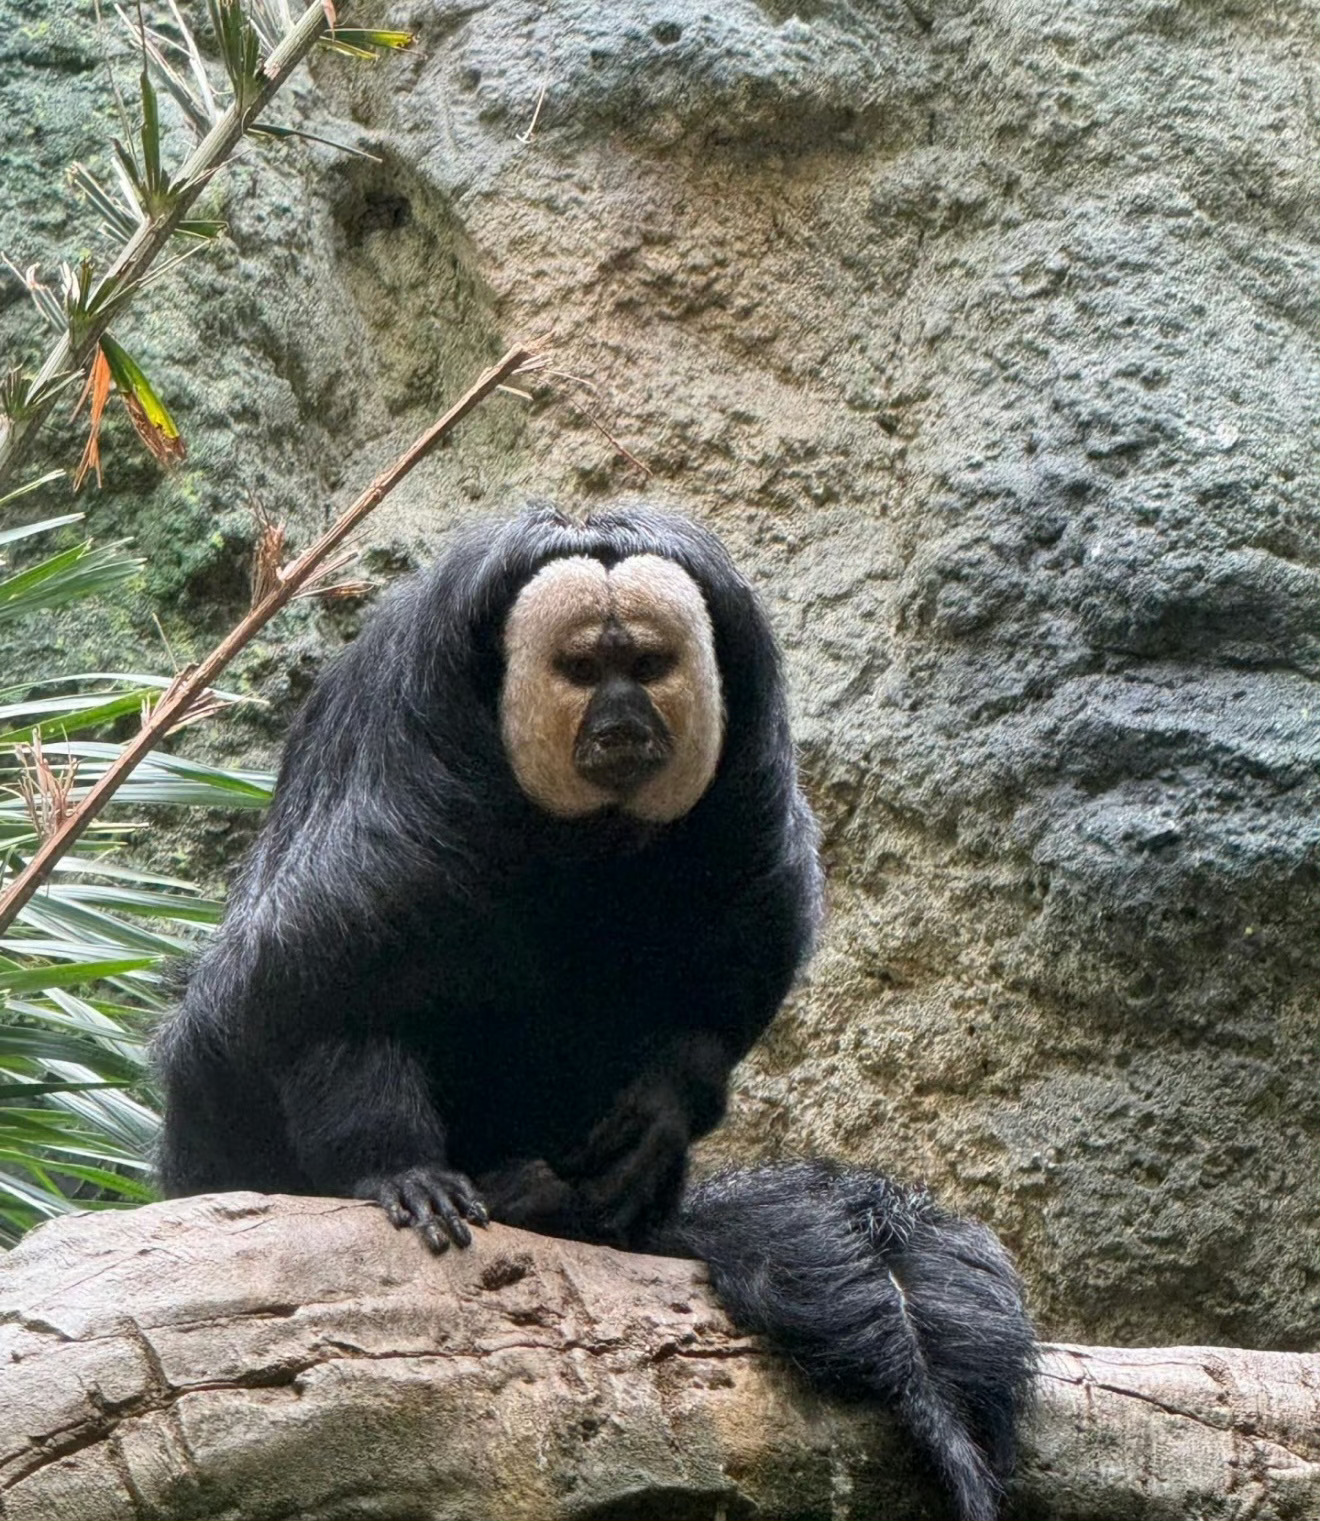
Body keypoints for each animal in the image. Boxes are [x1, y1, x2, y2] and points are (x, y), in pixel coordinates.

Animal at [155, 504, 1033, 1521]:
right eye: (582, 669)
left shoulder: (746, 776)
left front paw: (655, 1114)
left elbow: (731, 974)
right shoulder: (399, 782)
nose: (621, 718)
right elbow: (311, 995)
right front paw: (401, 1169)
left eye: (645, 664)